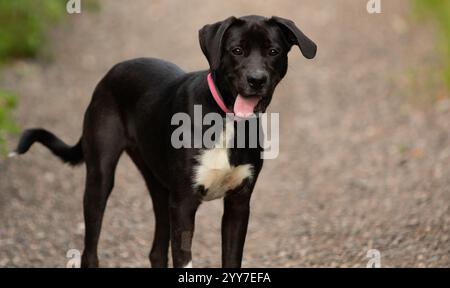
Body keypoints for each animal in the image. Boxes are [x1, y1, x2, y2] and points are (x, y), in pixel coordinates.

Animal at [11, 15, 316, 268]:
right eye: (236, 50)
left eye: (273, 51)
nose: (256, 80)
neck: (226, 119)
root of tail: (110, 73)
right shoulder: (183, 204)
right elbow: (184, 258)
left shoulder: (238, 204)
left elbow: (230, 259)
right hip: (100, 178)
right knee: (90, 250)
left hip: (159, 186)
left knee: (156, 251)